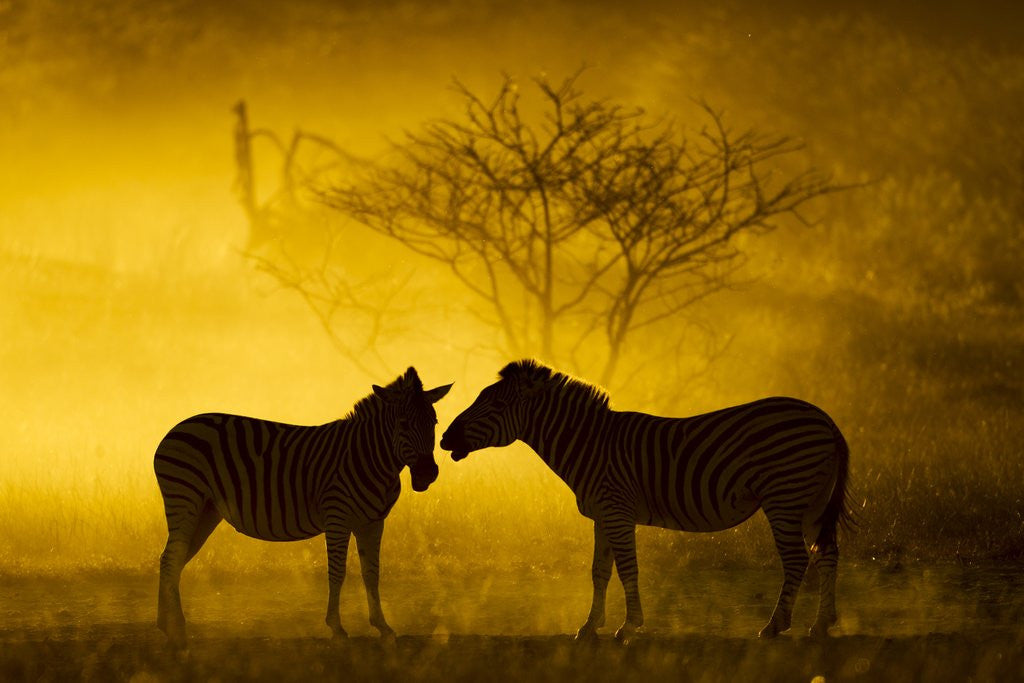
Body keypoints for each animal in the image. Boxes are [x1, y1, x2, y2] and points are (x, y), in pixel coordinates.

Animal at [154, 367, 452, 648]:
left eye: (434, 422)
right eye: (403, 423)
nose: (427, 474)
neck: (370, 456)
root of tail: (175, 429)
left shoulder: (373, 522)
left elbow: (372, 574)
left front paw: (383, 627)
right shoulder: (337, 517)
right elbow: (337, 572)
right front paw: (337, 629)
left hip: (206, 512)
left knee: (173, 559)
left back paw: (169, 627)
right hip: (185, 500)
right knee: (171, 559)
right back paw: (175, 631)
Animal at [440, 360, 852, 642]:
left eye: (494, 407)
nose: (444, 439)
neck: (590, 445)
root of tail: (826, 419)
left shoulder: (617, 511)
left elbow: (628, 570)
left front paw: (628, 626)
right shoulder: (602, 515)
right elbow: (600, 571)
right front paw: (589, 627)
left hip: (784, 497)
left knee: (797, 559)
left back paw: (775, 625)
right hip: (811, 501)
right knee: (826, 553)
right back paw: (821, 624)